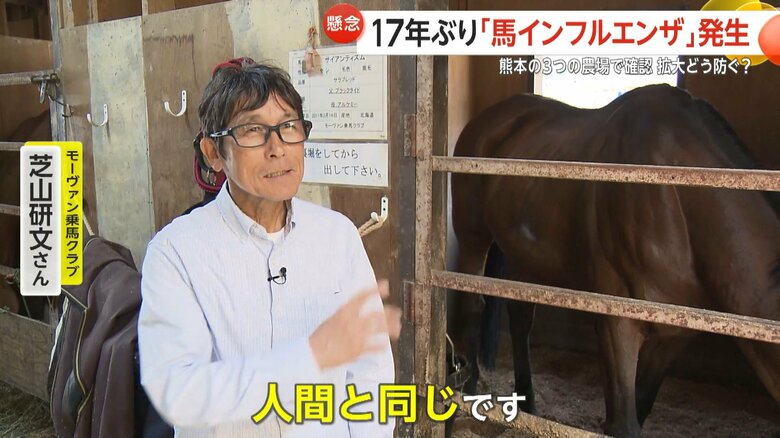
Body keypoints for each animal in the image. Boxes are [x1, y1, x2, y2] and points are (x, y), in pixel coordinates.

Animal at [449, 84, 780, 437]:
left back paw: (528, 404)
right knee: (473, 304)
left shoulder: (672, 338)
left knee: (522, 319)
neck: (677, 194)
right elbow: (624, 420)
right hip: (473, 236)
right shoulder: (618, 324)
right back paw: (470, 390)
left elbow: (637, 408)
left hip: (524, 253)